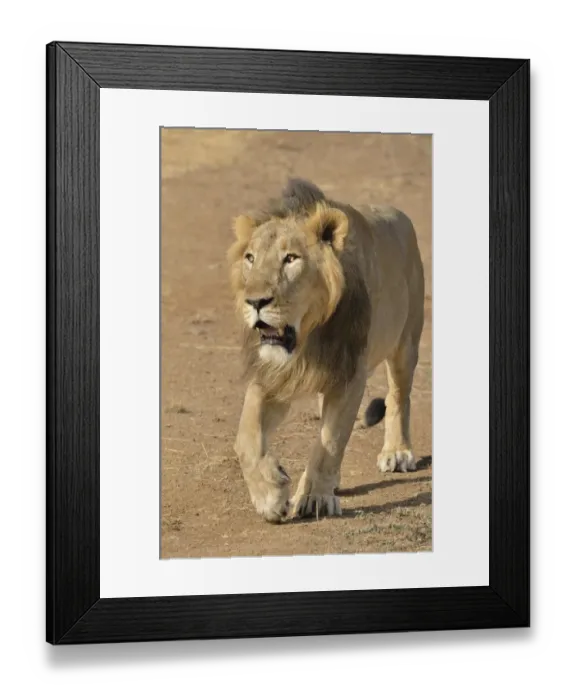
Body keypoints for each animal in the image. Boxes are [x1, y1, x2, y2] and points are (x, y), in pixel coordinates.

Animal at [227, 178, 425, 523]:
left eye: (291, 259)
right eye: (250, 258)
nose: (254, 302)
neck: (308, 336)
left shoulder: (350, 375)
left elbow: (330, 440)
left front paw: (315, 498)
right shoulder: (274, 375)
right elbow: (246, 436)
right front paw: (269, 495)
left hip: (406, 343)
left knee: (398, 396)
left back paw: (397, 452)